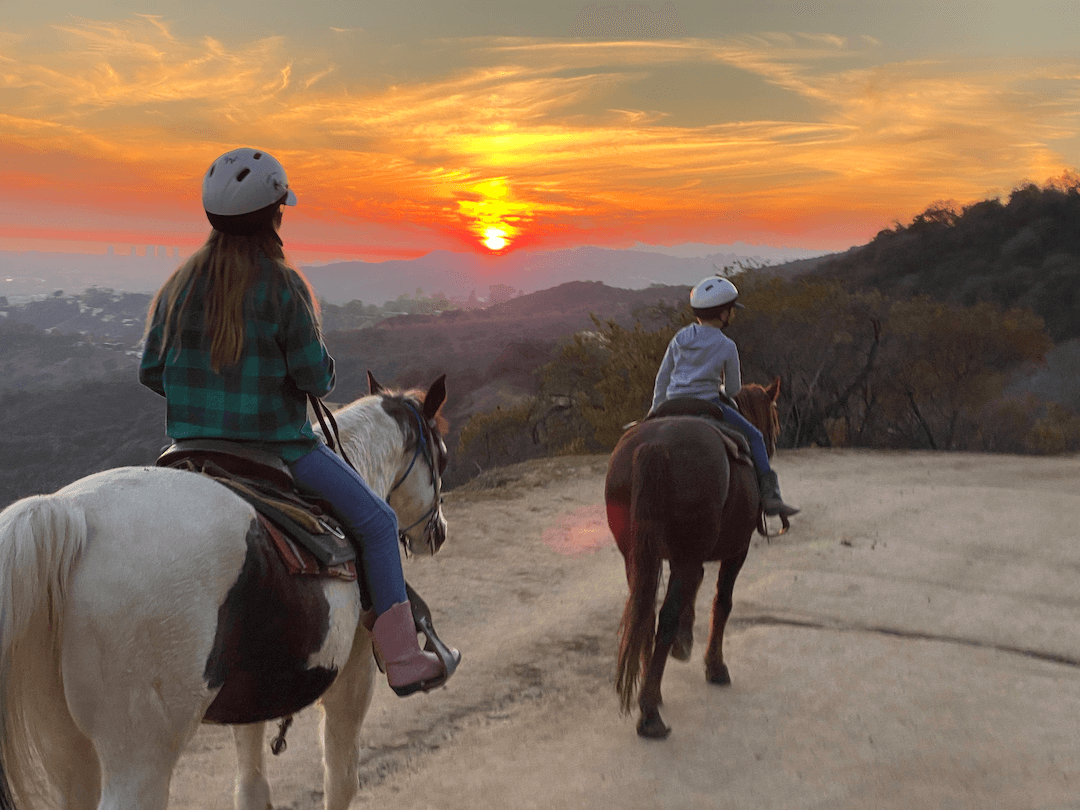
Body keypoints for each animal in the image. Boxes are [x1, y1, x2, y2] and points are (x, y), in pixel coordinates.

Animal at [0, 375, 449, 810]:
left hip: (66, 747)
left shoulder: (253, 692)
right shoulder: (353, 673)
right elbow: (340, 779)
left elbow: (251, 786)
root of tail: (70, 514)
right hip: (140, 756)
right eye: (441, 456)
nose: (439, 532)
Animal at [613, 378, 781, 738]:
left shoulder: (686, 557)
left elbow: (693, 590)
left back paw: (650, 693)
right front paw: (715, 666)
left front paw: (684, 643)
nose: (772, 443)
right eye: (773, 419)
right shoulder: (736, 550)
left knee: (645, 611)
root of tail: (655, 445)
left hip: (635, 555)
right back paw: (650, 714)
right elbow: (722, 603)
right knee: (665, 615)